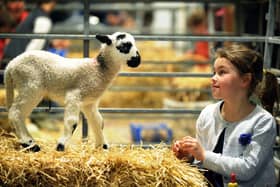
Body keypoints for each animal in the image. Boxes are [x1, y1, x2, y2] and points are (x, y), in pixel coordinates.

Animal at [4, 31, 140, 152]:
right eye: (124, 46)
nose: (138, 60)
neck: (99, 69)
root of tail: (10, 66)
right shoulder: (74, 96)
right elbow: (72, 122)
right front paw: (60, 146)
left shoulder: (89, 103)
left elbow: (98, 122)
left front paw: (102, 147)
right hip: (30, 87)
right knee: (16, 113)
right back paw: (30, 144)